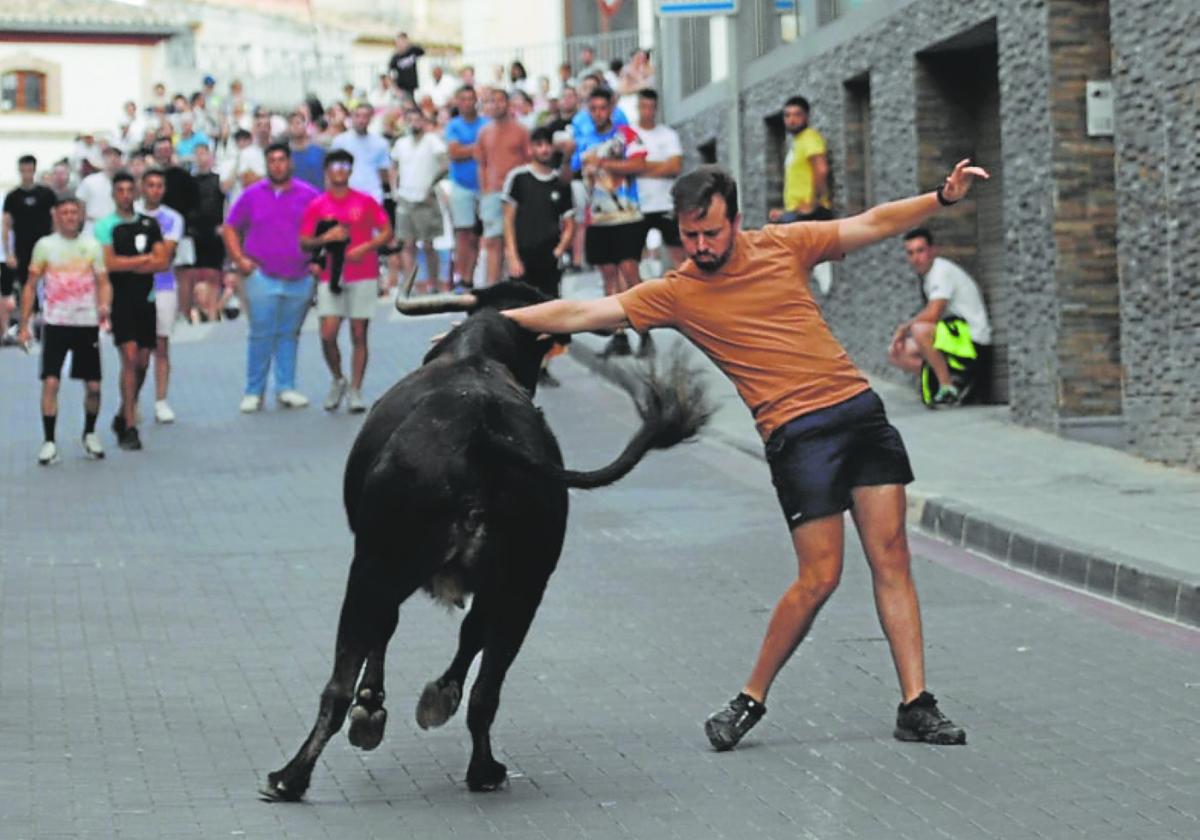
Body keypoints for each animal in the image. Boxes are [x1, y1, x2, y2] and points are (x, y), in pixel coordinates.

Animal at [260, 282, 710, 801]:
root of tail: (480, 435)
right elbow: (470, 636)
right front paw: (435, 696)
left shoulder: (373, 560)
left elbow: (384, 634)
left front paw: (371, 707)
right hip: (526, 583)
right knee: (486, 689)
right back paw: (482, 766)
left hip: (378, 565)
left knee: (339, 682)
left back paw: (289, 776)